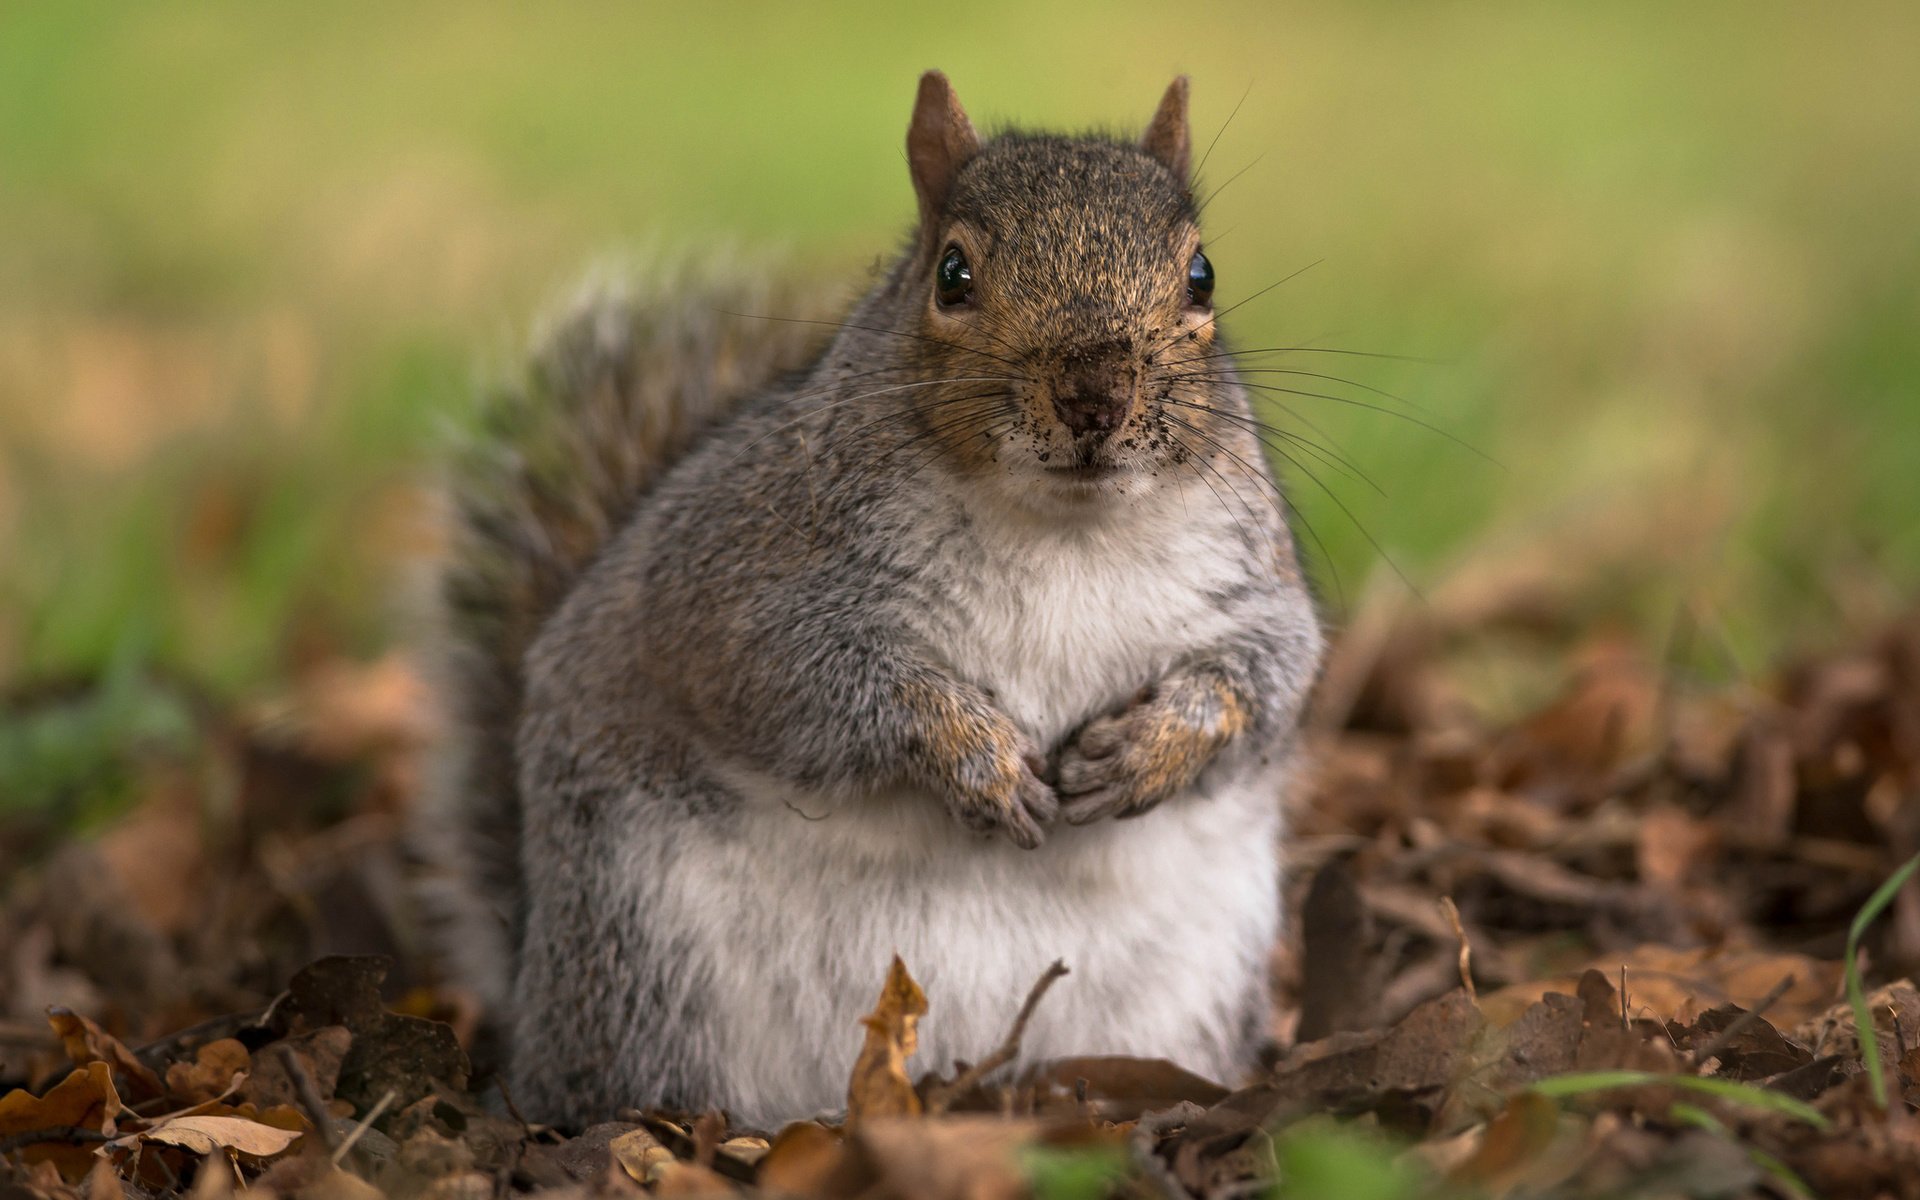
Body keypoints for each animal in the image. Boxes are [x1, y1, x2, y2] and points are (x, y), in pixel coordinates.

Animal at [416, 72, 1320, 1121]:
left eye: (1202, 275)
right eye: (953, 275)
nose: (1094, 396)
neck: (1067, 531)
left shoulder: (1252, 586)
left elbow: (1272, 677)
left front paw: (1152, 749)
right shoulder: (736, 589)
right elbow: (808, 684)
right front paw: (976, 759)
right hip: (641, 956)